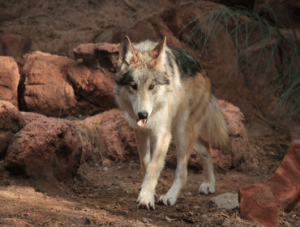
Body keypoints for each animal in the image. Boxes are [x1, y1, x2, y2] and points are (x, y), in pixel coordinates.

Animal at [113, 36, 229, 209]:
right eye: (133, 86)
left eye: (152, 86)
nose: (142, 114)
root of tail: (203, 70)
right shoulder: (140, 132)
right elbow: (146, 164)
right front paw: (149, 192)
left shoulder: (163, 134)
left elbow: (154, 166)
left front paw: (146, 198)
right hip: (180, 134)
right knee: (206, 147)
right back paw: (209, 184)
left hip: (181, 133)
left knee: (183, 173)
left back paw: (170, 197)